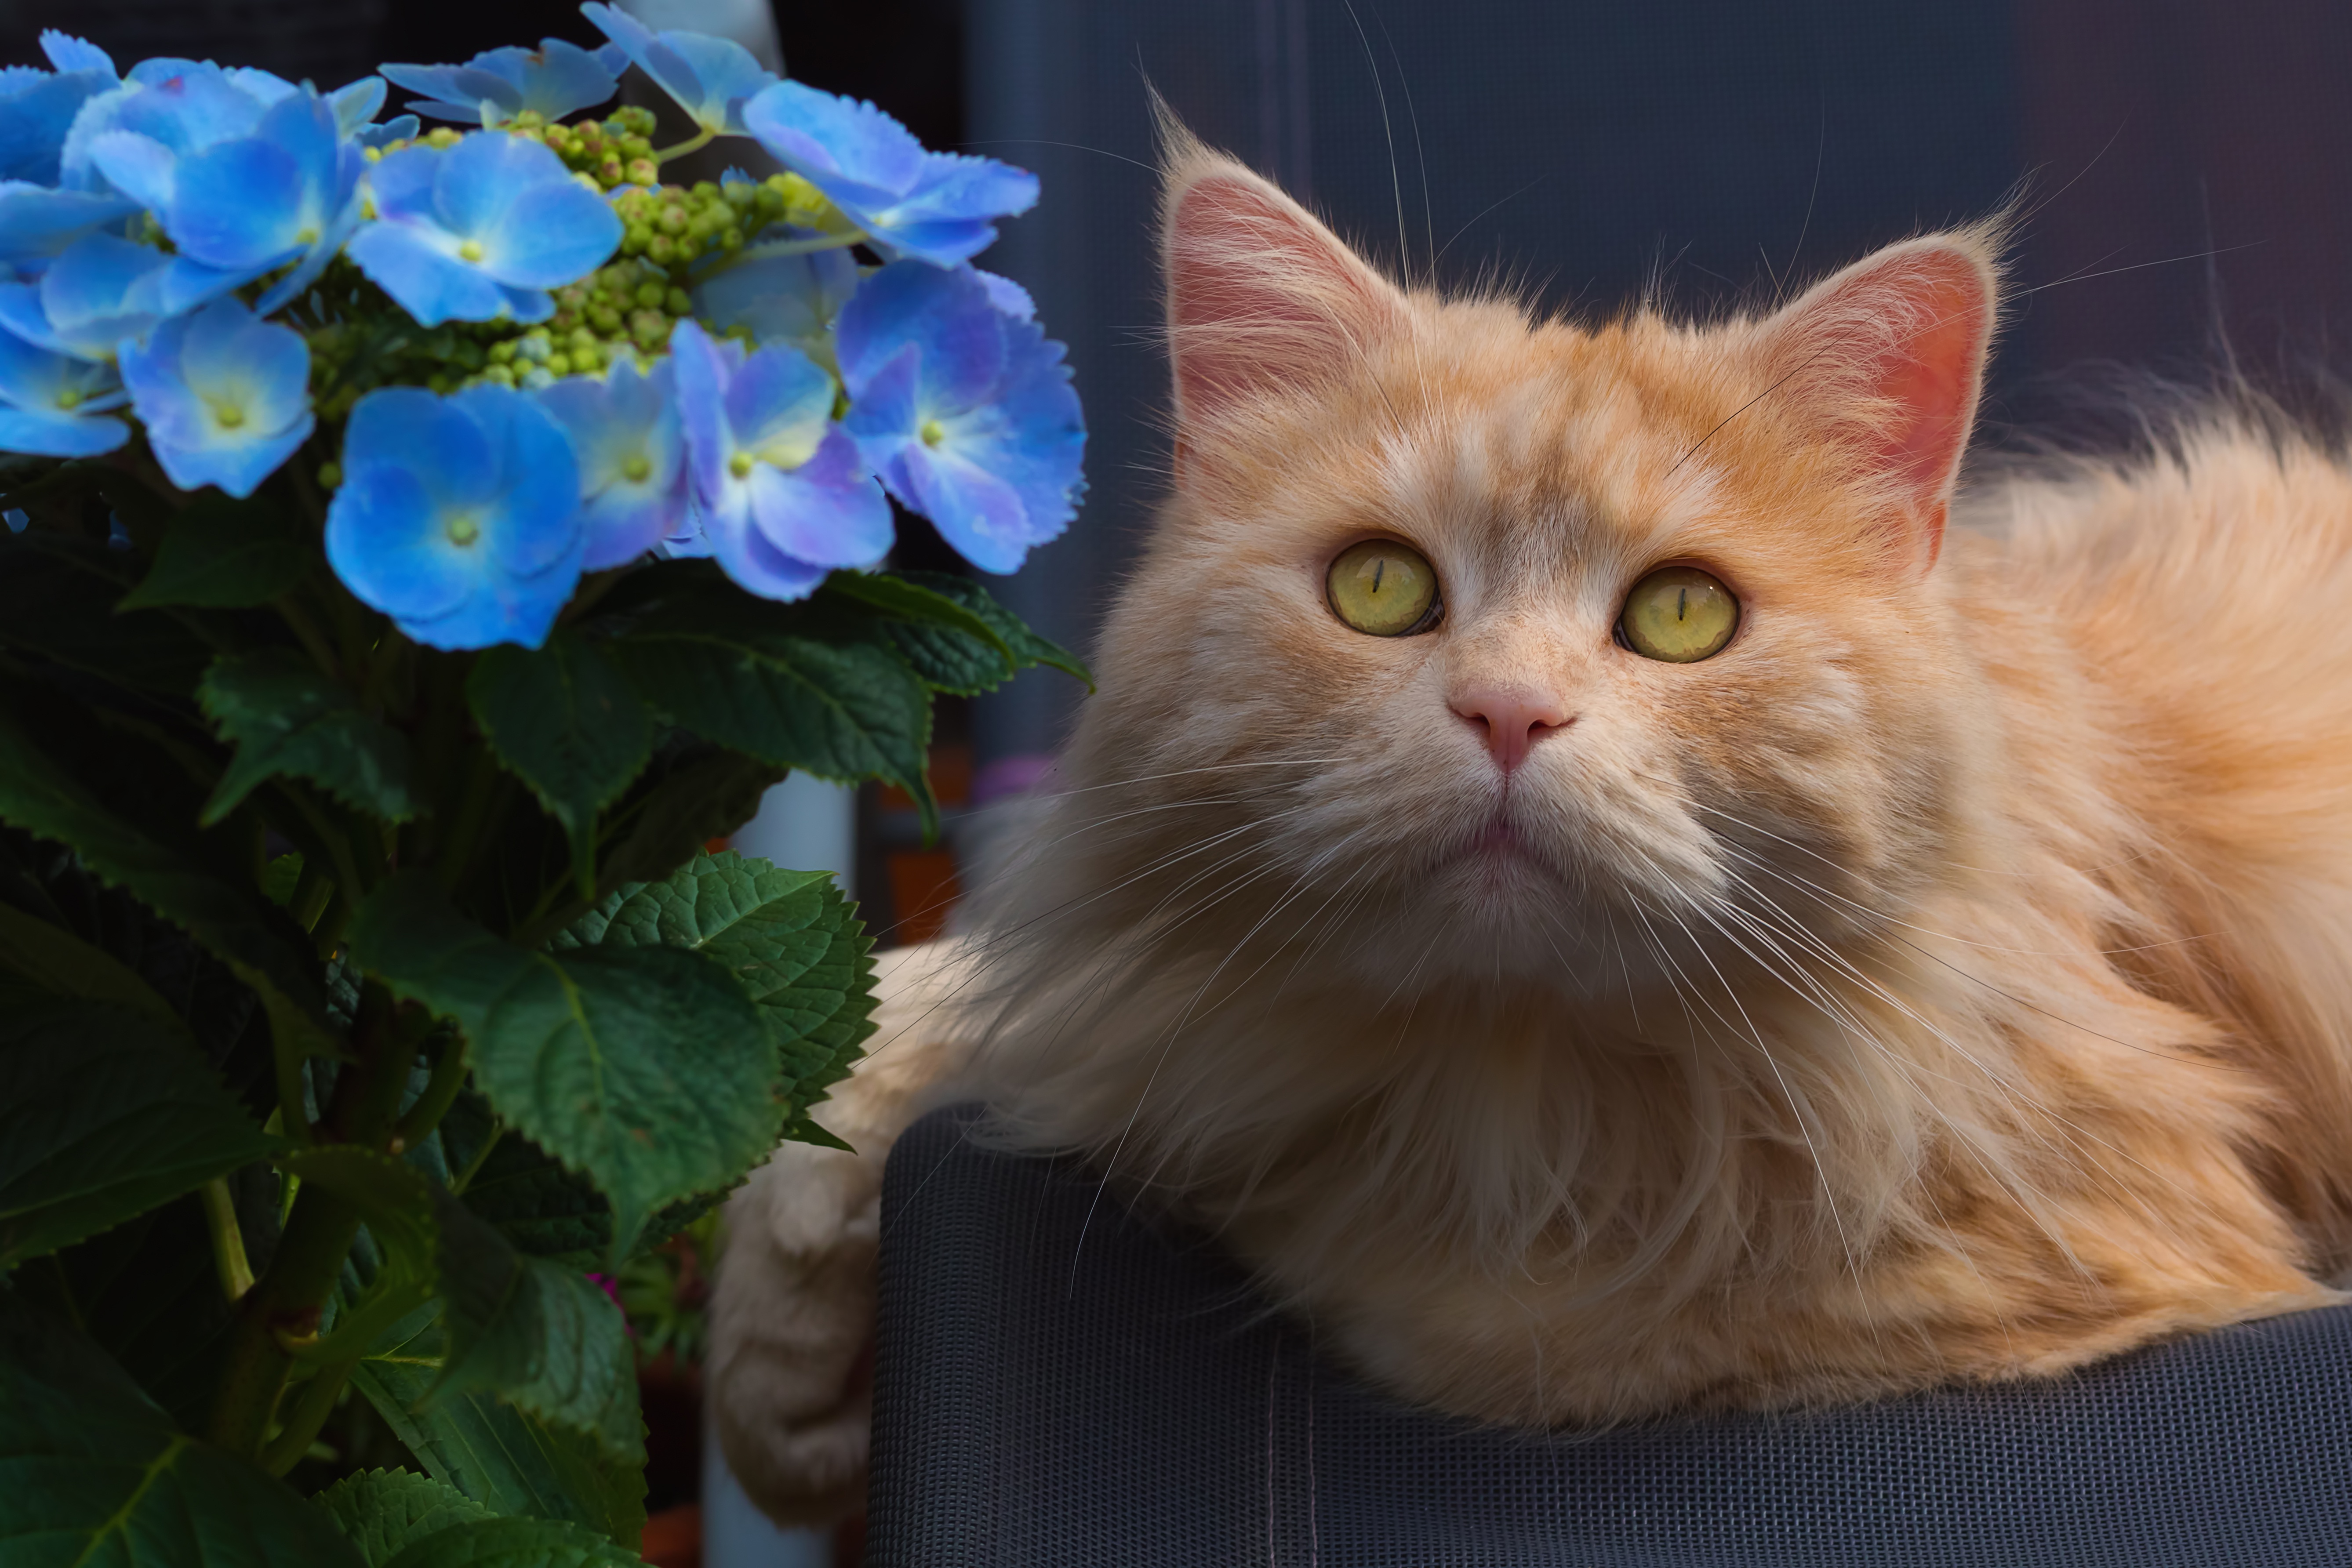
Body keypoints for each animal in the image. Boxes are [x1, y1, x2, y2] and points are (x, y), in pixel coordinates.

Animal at [705, 128, 2352, 1523]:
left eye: (1683, 616)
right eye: (1380, 589)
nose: (1506, 713)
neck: (1522, 1085)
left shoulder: (2028, 1241)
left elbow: (1253, 1169)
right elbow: (956, 1001)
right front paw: (782, 1363)